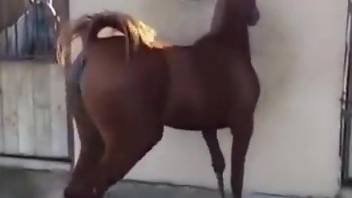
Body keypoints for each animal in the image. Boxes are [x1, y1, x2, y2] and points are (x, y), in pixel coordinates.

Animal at [57, 0, 260, 196]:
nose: (256, 16)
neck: (227, 46)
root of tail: (92, 46)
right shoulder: (243, 124)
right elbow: (236, 178)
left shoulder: (208, 128)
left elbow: (219, 166)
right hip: (136, 138)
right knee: (95, 187)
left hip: (92, 140)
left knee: (76, 189)